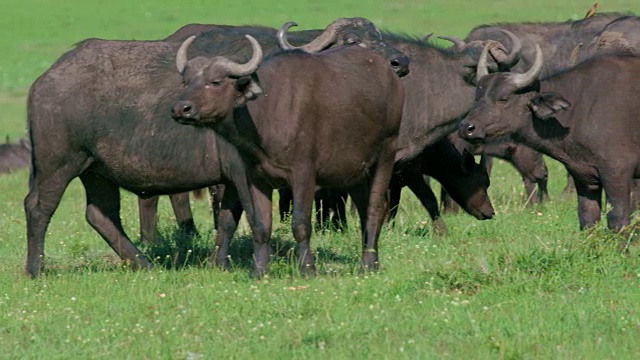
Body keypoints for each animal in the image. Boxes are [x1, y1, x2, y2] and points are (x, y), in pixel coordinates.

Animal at [458, 43, 640, 238]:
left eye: (503, 99)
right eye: (477, 98)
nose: (466, 128)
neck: (581, 108)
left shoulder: (617, 173)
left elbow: (618, 219)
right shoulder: (584, 177)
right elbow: (587, 217)